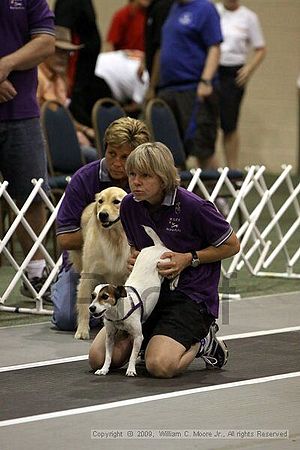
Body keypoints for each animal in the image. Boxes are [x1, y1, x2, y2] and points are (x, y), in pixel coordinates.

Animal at [70, 185, 131, 338]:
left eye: (116, 202)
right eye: (101, 201)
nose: (102, 214)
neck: (113, 238)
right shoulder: (88, 275)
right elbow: (84, 307)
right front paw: (82, 331)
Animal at [89, 225, 178, 376]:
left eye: (105, 296)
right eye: (92, 296)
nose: (91, 308)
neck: (117, 314)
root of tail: (157, 246)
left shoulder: (137, 337)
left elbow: (132, 355)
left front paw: (131, 369)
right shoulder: (110, 337)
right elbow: (108, 356)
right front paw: (104, 369)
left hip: (165, 263)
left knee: (176, 269)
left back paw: (174, 282)